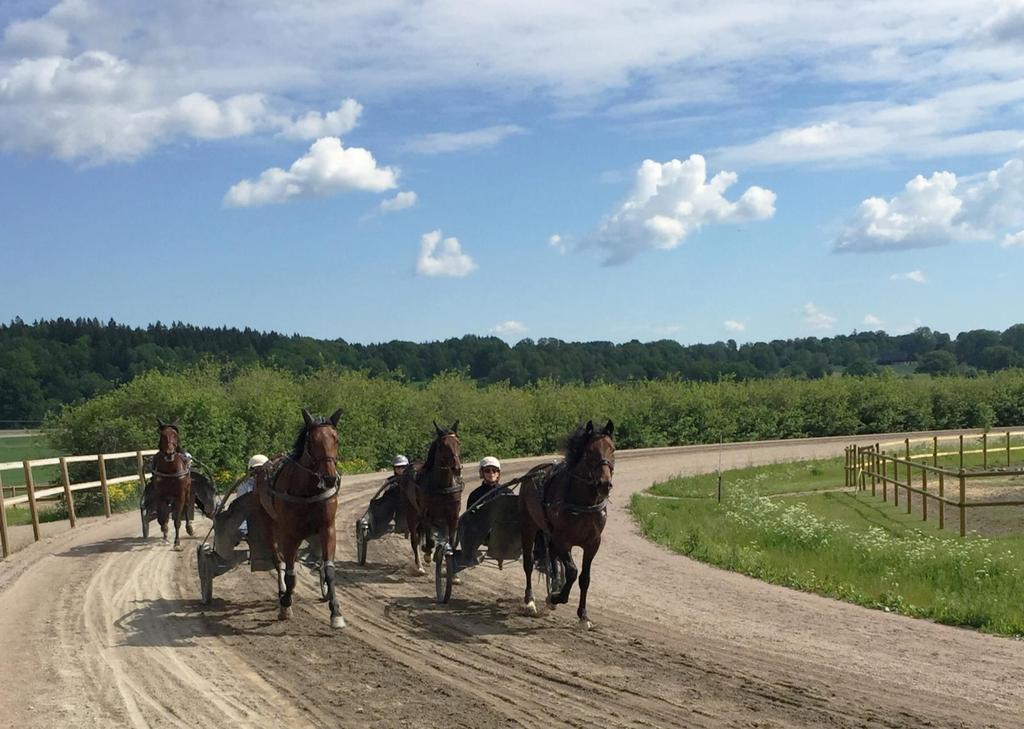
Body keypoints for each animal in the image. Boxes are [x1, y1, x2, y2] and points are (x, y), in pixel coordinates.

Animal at [150, 417, 192, 548]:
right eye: (162, 435)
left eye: (175, 435)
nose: (169, 453)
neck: (170, 471)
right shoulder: (160, 496)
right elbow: (162, 518)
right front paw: (165, 535)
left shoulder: (180, 496)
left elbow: (177, 520)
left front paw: (177, 542)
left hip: (187, 492)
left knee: (186, 507)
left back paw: (189, 528)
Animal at [253, 409, 346, 626]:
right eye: (312, 440)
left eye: (336, 439)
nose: (330, 478)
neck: (308, 490)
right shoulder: (290, 533)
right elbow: (290, 572)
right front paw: (286, 604)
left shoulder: (328, 528)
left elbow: (329, 570)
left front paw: (335, 611)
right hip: (268, 523)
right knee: (277, 560)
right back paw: (283, 592)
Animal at [399, 421, 464, 573]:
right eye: (443, 445)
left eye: (458, 443)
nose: (456, 468)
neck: (442, 486)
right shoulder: (427, 515)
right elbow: (429, 540)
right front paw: (428, 554)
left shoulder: (453, 516)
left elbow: (451, 543)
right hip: (411, 511)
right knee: (415, 539)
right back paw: (419, 565)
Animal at [520, 417, 614, 630]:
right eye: (590, 452)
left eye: (612, 449)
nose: (604, 484)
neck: (582, 503)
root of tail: (535, 471)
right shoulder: (563, 540)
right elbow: (572, 571)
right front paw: (556, 598)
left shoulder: (592, 543)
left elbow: (585, 578)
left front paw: (583, 616)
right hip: (529, 526)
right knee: (529, 562)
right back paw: (530, 601)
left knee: (552, 558)